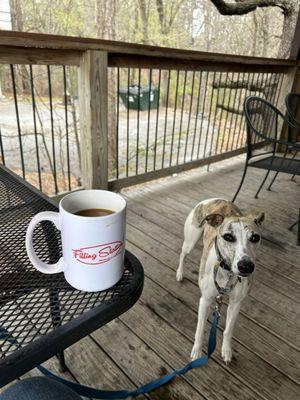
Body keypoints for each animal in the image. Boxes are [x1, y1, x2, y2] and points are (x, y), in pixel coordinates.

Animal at [177, 198, 264, 364]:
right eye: (228, 237)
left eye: (255, 238)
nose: (246, 266)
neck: (228, 272)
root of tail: (213, 199)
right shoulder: (205, 300)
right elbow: (200, 329)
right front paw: (197, 351)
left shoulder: (236, 303)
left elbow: (228, 330)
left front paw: (226, 350)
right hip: (191, 240)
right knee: (183, 254)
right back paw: (179, 273)